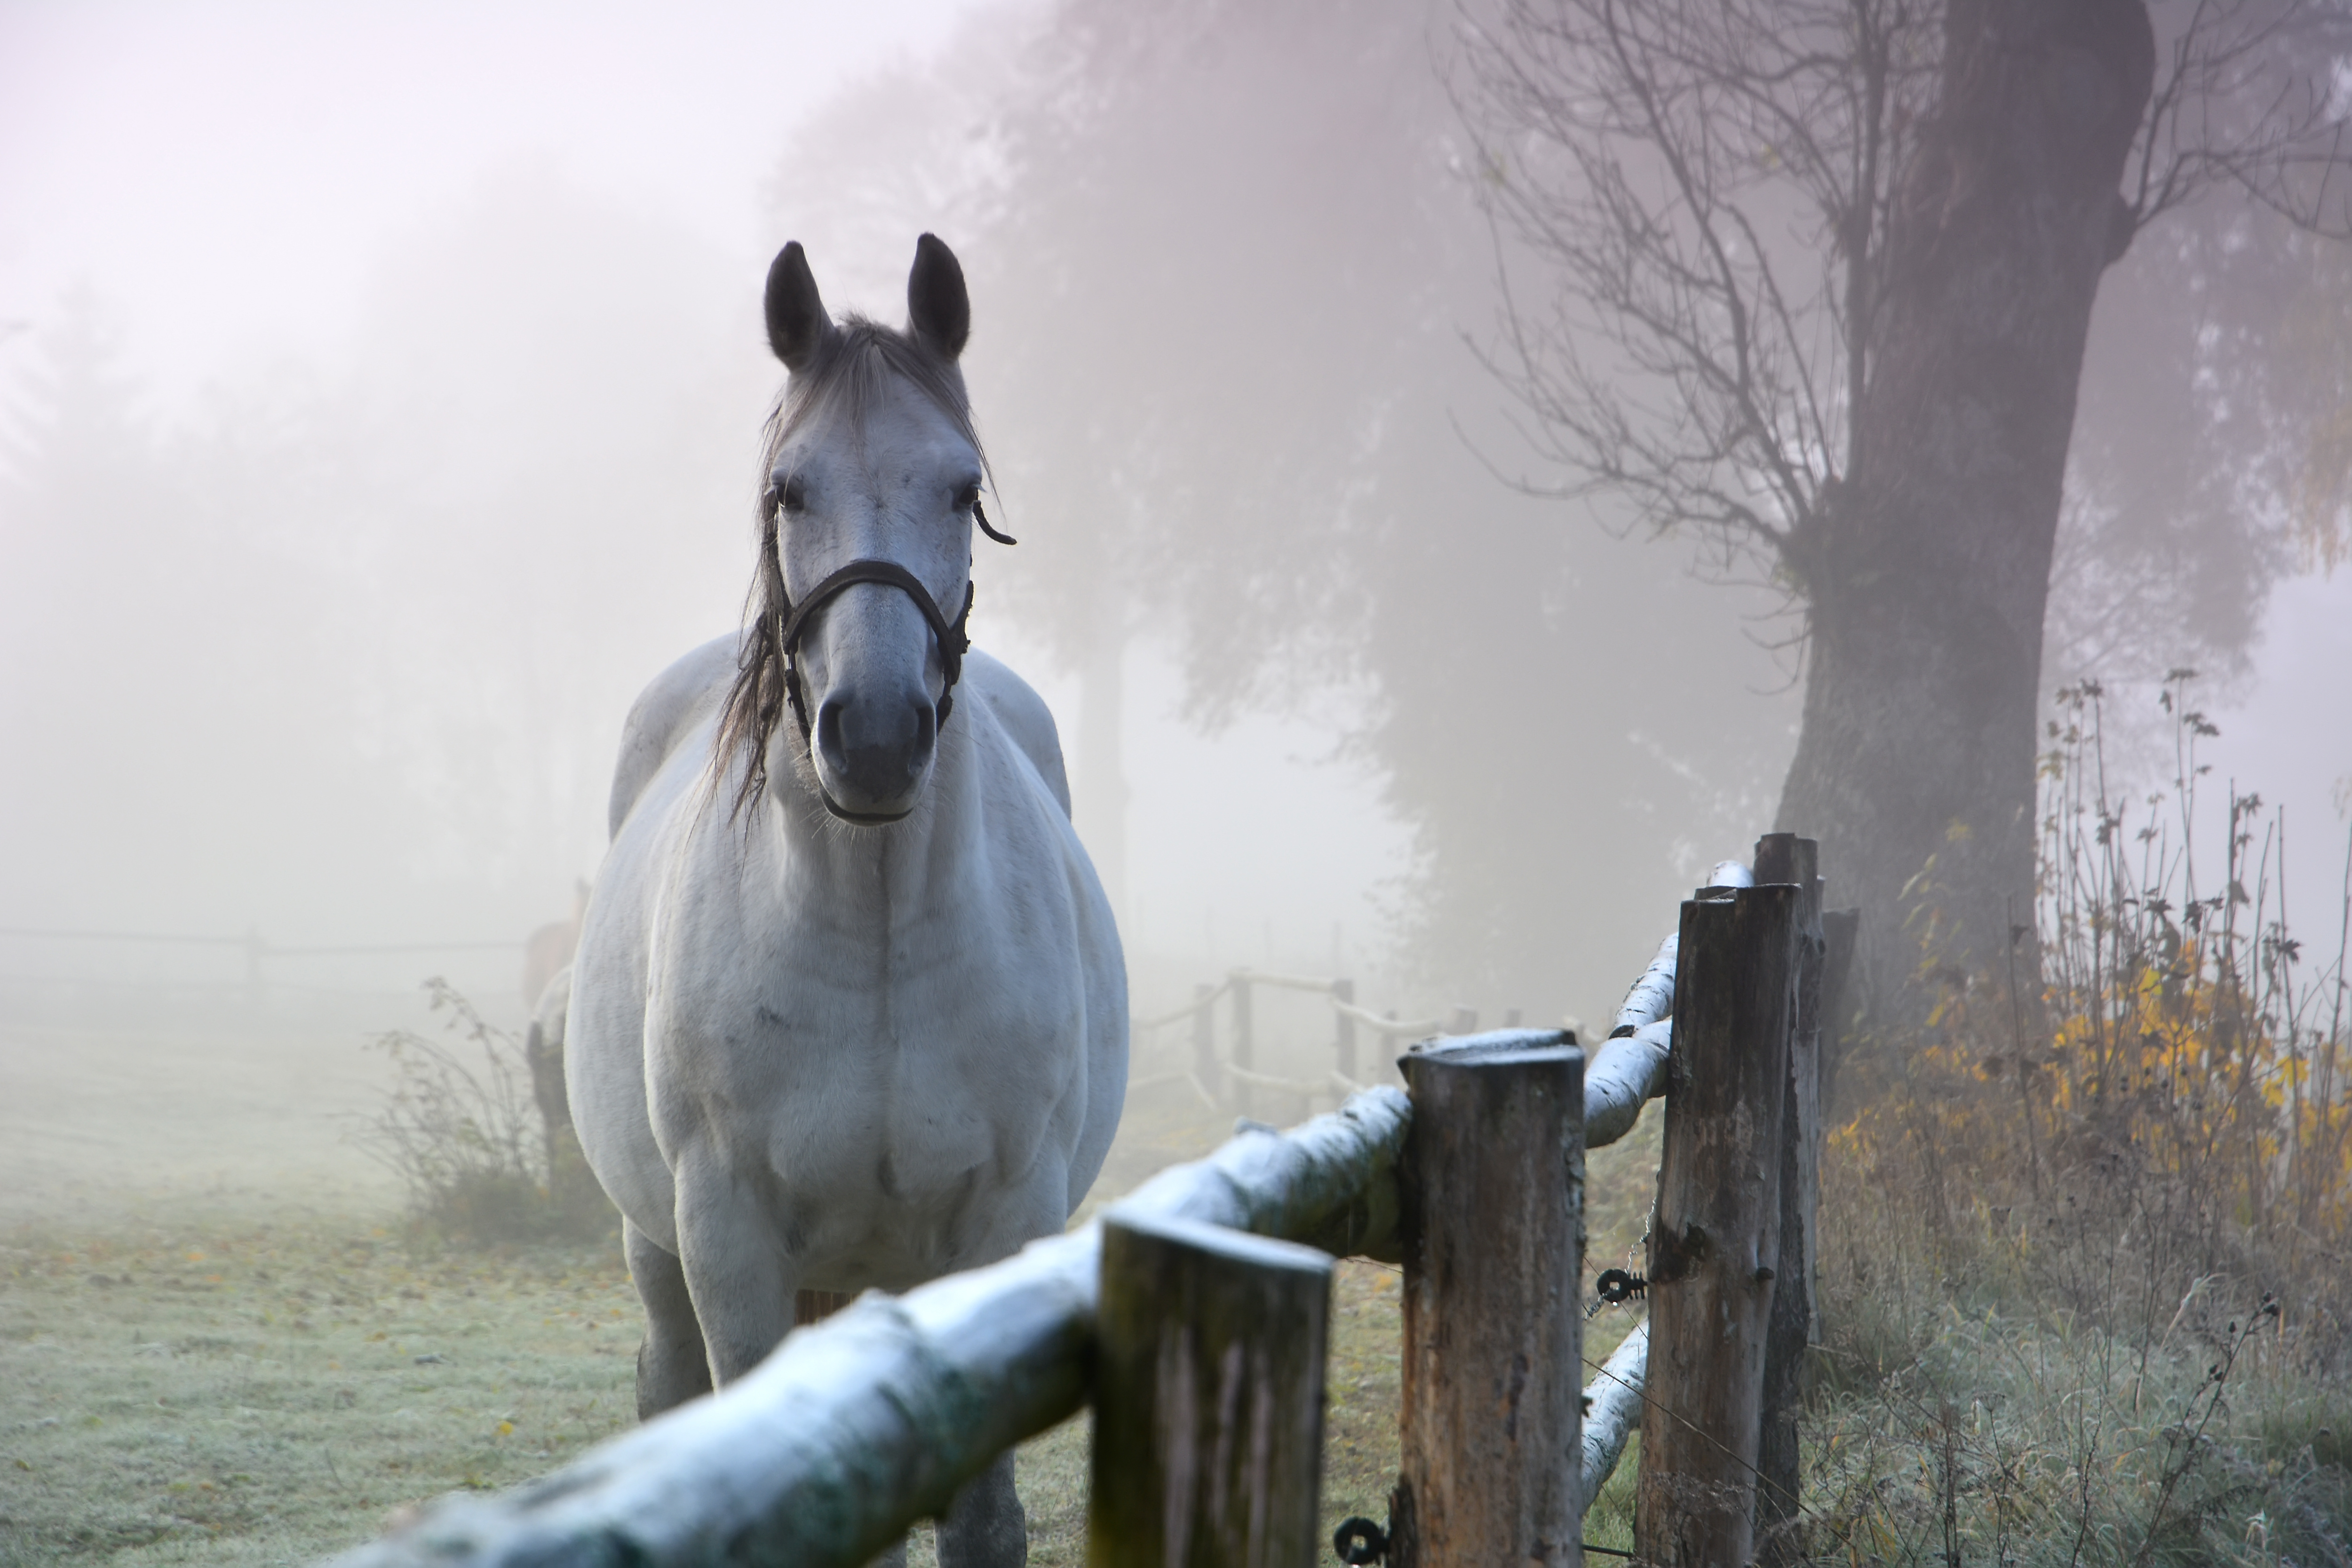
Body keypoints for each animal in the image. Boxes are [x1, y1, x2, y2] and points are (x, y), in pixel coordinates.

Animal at [564, 232, 1124, 1568]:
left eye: (963, 490)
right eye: (788, 490)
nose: (871, 738)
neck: (871, 934)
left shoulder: (1000, 1231)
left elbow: (981, 1523)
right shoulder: (727, 1246)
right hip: (655, 1246)